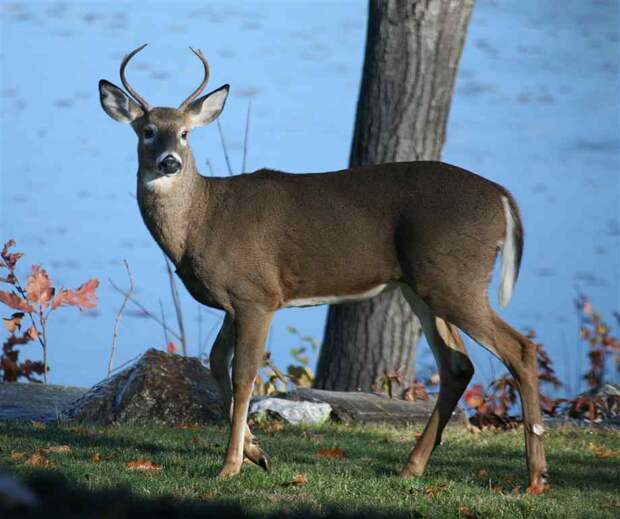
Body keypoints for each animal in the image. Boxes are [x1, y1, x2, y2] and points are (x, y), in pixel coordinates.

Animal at [99, 44, 548, 492]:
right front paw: (257, 453)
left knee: (520, 349)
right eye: (147, 131)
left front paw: (231, 465)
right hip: (421, 286)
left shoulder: (258, 294)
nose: (170, 163)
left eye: (186, 133)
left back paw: (536, 477)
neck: (202, 221)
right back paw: (413, 466)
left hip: (456, 278)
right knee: (458, 365)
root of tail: (502, 197)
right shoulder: (234, 300)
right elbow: (215, 363)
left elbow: (244, 375)